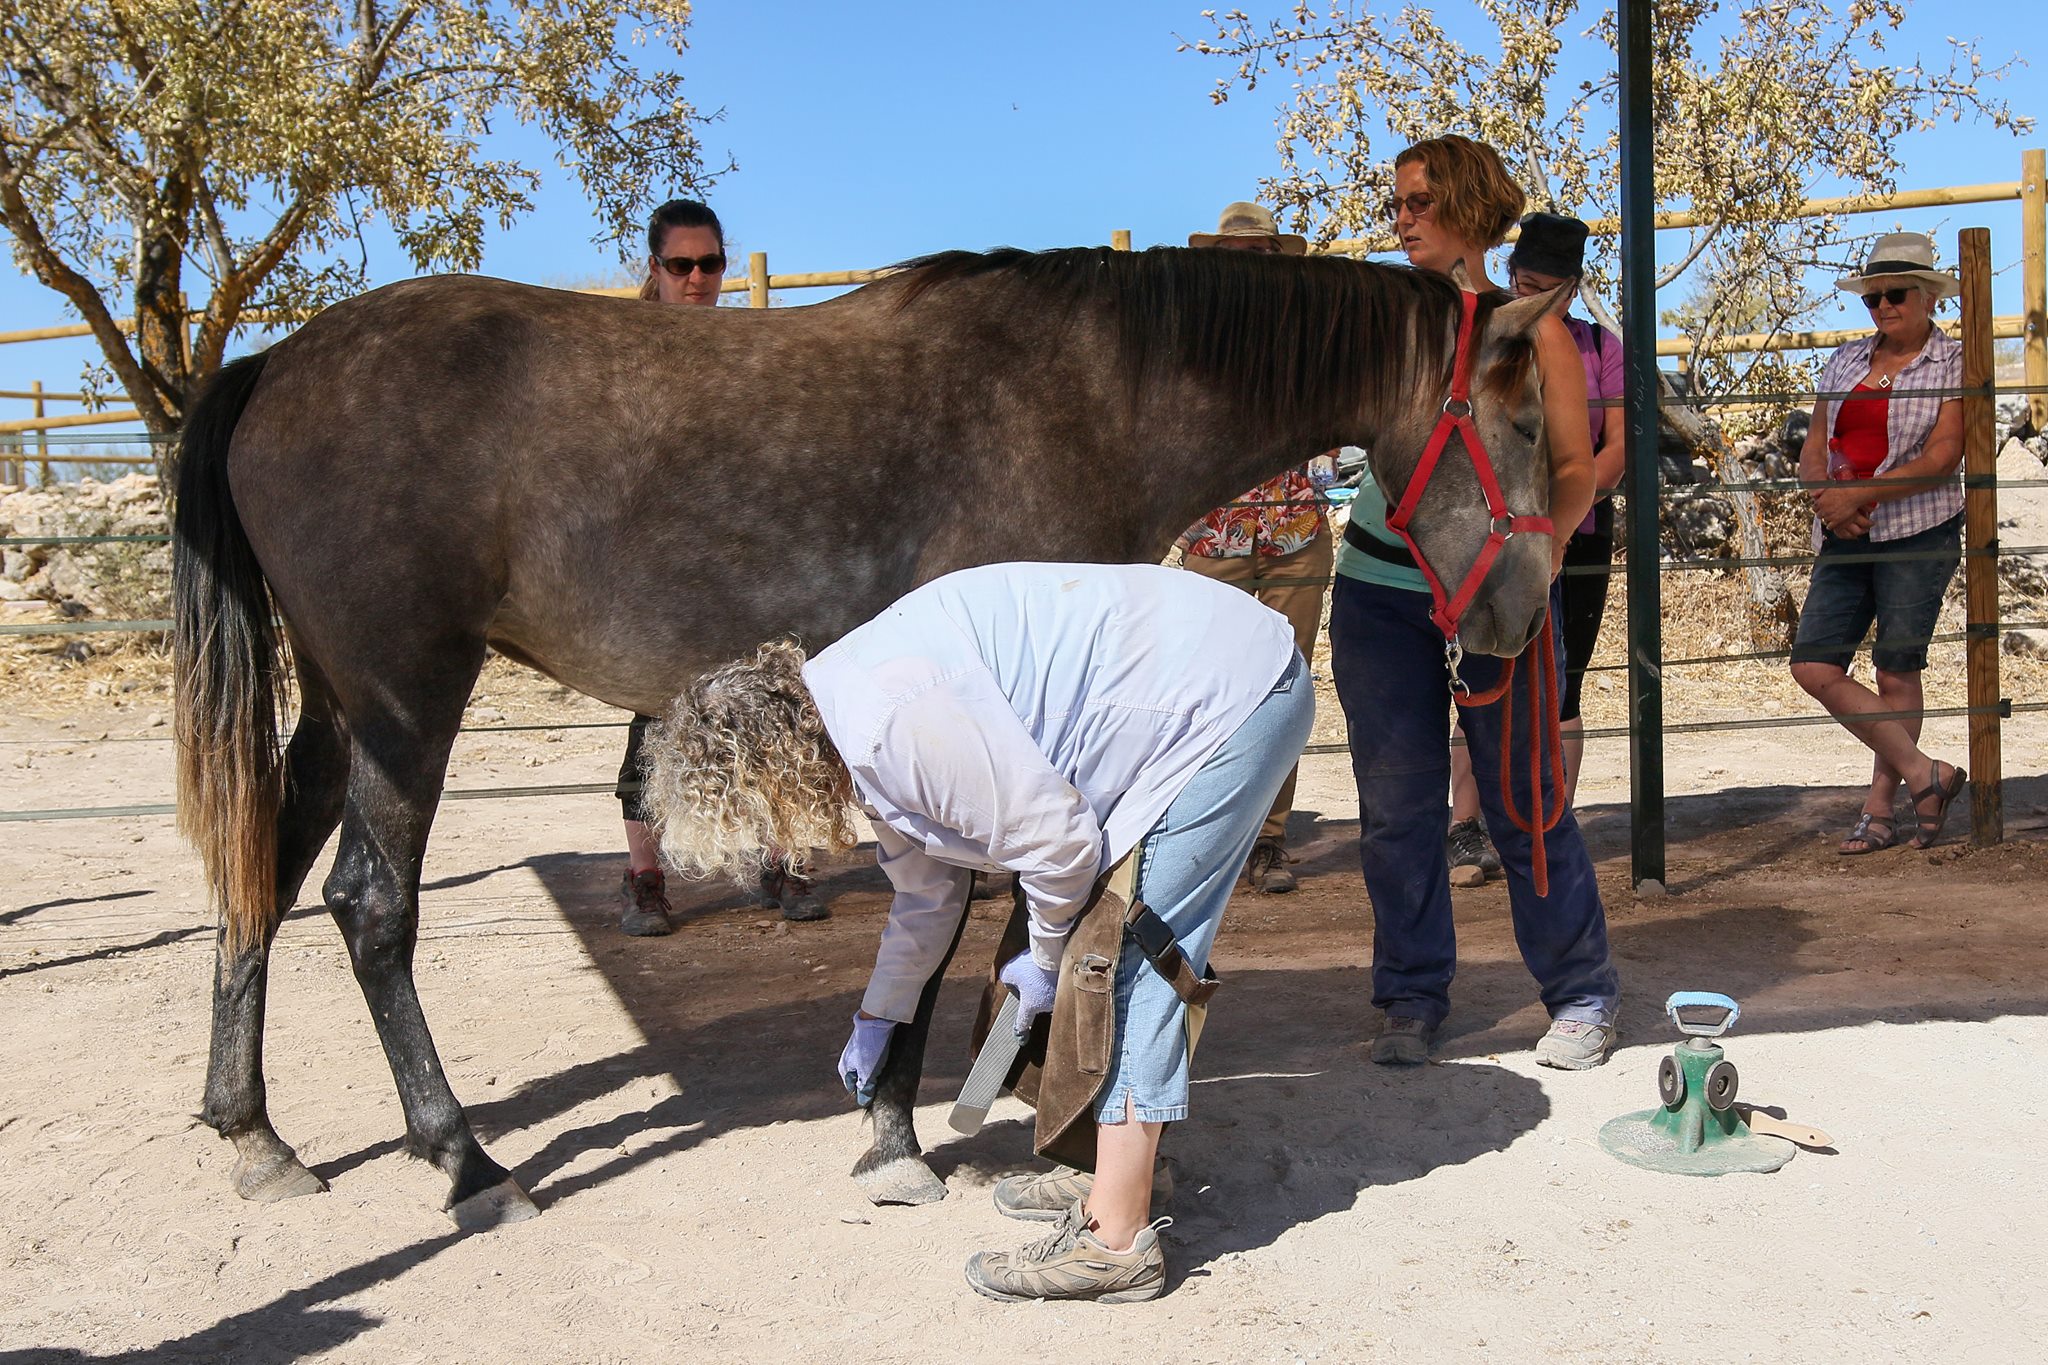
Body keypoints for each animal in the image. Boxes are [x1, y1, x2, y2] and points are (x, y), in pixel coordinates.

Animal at [172, 244, 1566, 1228]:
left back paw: (256, 1137)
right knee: (367, 905)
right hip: (403, 703)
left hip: (335, 708)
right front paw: (902, 1127)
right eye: (1524, 424)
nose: (1521, 611)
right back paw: (466, 1161)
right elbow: (952, 928)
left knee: (259, 879)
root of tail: (274, 365)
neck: (1089, 391)